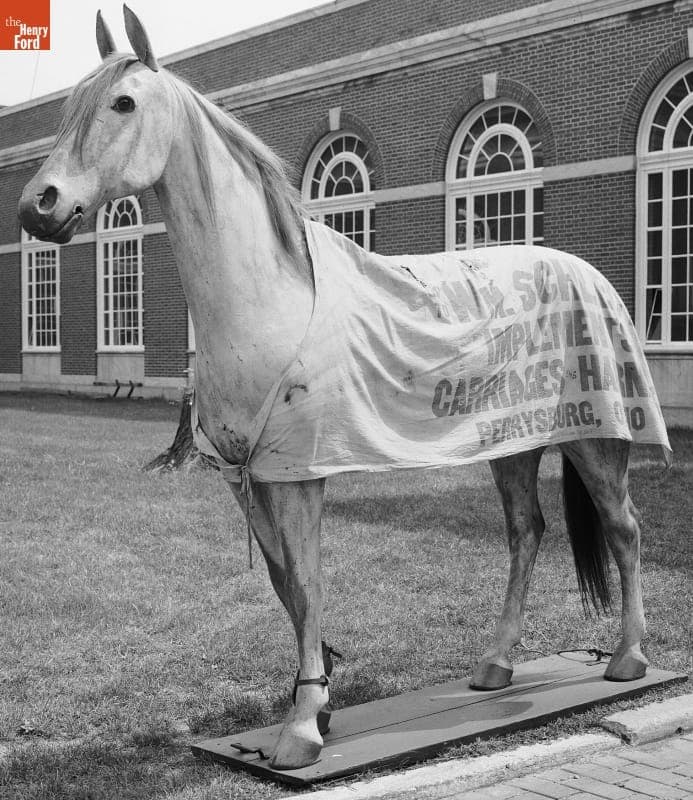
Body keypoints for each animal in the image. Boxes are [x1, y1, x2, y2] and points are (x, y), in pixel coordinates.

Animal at [18, 6, 669, 771]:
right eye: (70, 106)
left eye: (123, 103)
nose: (38, 206)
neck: (268, 297)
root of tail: (588, 274)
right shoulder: (246, 472)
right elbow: (284, 585)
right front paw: (319, 699)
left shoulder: (301, 468)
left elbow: (306, 581)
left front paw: (303, 726)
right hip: (512, 442)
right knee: (524, 533)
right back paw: (494, 666)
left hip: (599, 434)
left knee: (624, 529)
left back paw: (627, 658)